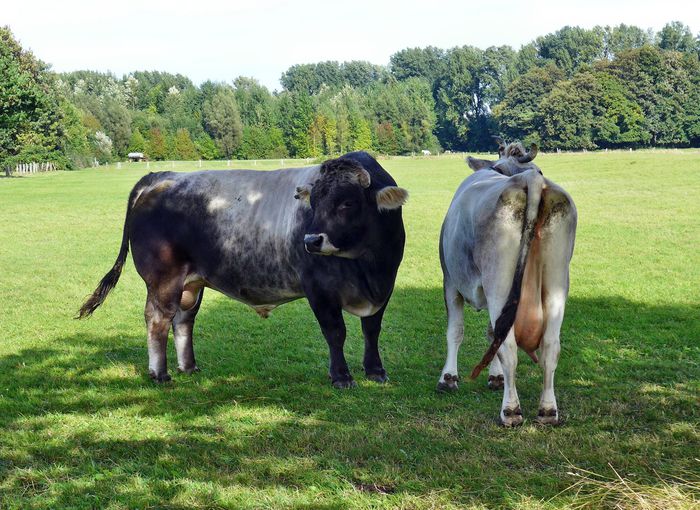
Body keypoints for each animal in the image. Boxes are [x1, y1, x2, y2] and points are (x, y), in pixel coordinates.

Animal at [78, 152, 408, 389]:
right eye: (313, 202)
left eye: (347, 202)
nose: (311, 240)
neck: (366, 266)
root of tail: (162, 177)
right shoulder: (319, 290)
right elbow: (335, 332)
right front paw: (341, 376)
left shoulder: (386, 286)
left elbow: (371, 329)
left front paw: (375, 371)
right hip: (163, 280)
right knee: (158, 320)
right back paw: (160, 374)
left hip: (191, 283)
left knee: (183, 320)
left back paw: (189, 367)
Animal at [436, 139, 577, 426]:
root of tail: (529, 180)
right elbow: (491, 333)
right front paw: (495, 376)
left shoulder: (450, 281)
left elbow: (455, 330)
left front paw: (448, 378)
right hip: (557, 280)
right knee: (550, 346)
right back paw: (548, 411)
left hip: (498, 282)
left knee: (508, 345)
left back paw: (510, 411)